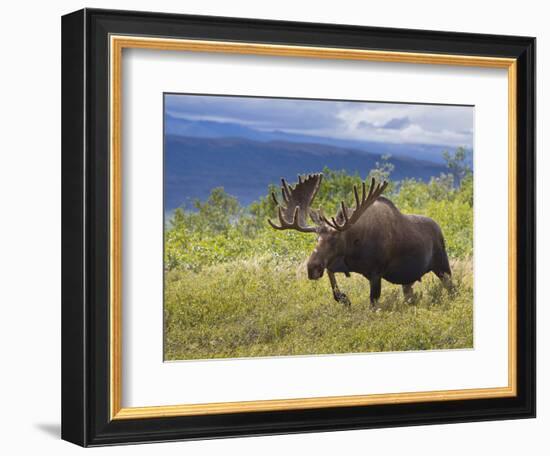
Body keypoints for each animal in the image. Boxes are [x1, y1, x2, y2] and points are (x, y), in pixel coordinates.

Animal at [268, 174, 452, 306]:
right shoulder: (339, 263)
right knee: (409, 294)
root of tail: (440, 229)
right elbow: (332, 281)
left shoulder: (376, 272)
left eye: (335, 239)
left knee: (452, 288)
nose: (312, 268)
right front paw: (344, 298)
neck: (354, 248)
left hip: (443, 266)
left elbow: (373, 301)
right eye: (316, 238)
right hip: (408, 280)